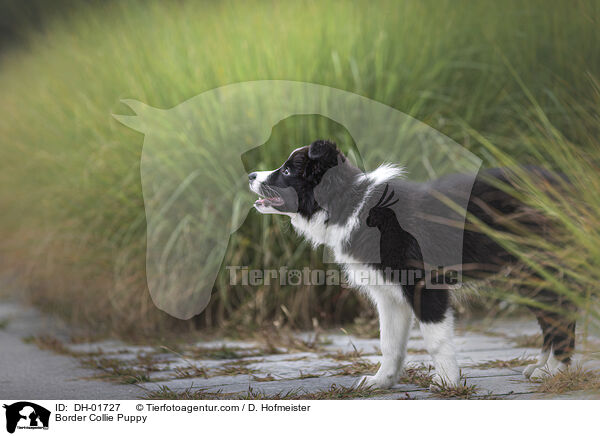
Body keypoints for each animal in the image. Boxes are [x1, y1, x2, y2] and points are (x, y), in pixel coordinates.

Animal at [248, 140, 576, 388]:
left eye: (287, 170)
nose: (251, 175)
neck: (352, 205)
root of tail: (565, 183)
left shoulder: (424, 284)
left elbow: (435, 338)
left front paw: (447, 383)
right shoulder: (388, 295)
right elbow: (389, 342)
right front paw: (381, 381)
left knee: (560, 315)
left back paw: (554, 370)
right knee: (552, 317)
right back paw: (542, 367)